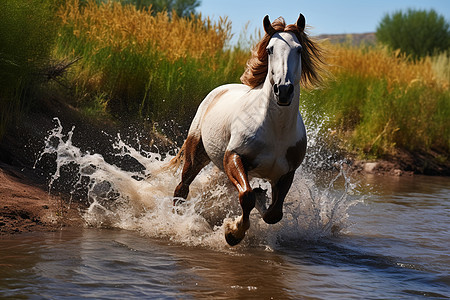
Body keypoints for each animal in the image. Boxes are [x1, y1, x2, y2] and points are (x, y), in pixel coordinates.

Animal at [169, 13, 324, 246]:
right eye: (269, 49)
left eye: (298, 49)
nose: (283, 90)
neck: (275, 130)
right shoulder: (233, 157)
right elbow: (246, 197)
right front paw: (233, 233)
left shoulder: (286, 173)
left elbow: (273, 213)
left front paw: (260, 199)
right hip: (196, 154)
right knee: (182, 188)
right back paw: (175, 220)